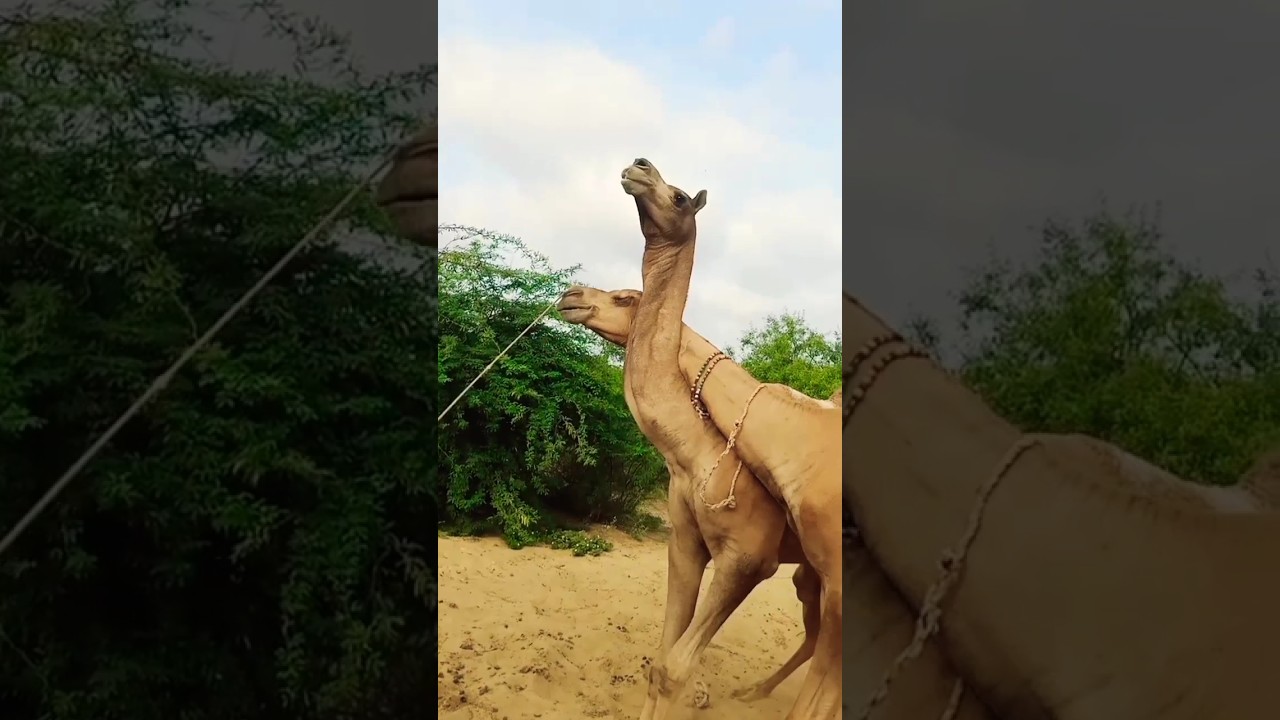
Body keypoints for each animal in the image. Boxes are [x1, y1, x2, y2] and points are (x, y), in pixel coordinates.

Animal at [557, 285, 994, 719]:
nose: (571, 295)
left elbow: (674, 664)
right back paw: (753, 692)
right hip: (814, 577)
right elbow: (663, 655)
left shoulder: (751, 558)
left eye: (624, 298)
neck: (697, 455)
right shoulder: (686, 540)